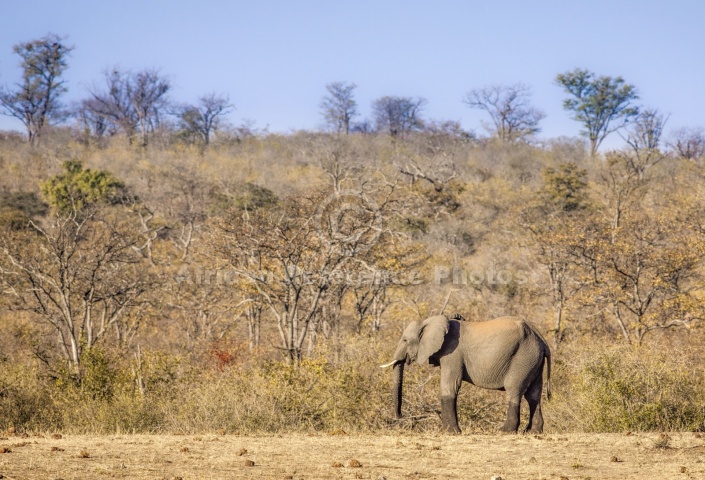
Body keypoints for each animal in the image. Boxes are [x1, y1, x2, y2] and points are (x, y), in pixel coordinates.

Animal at [380, 314, 552, 434]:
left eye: (405, 340)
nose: (400, 417)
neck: (431, 320)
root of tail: (542, 340)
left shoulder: (452, 353)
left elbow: (450, 386)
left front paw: (449, 433)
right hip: (533, 359)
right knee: (533, 395)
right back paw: (532, 432)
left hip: (522, 358)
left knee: (514, 390)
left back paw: (505, 431)